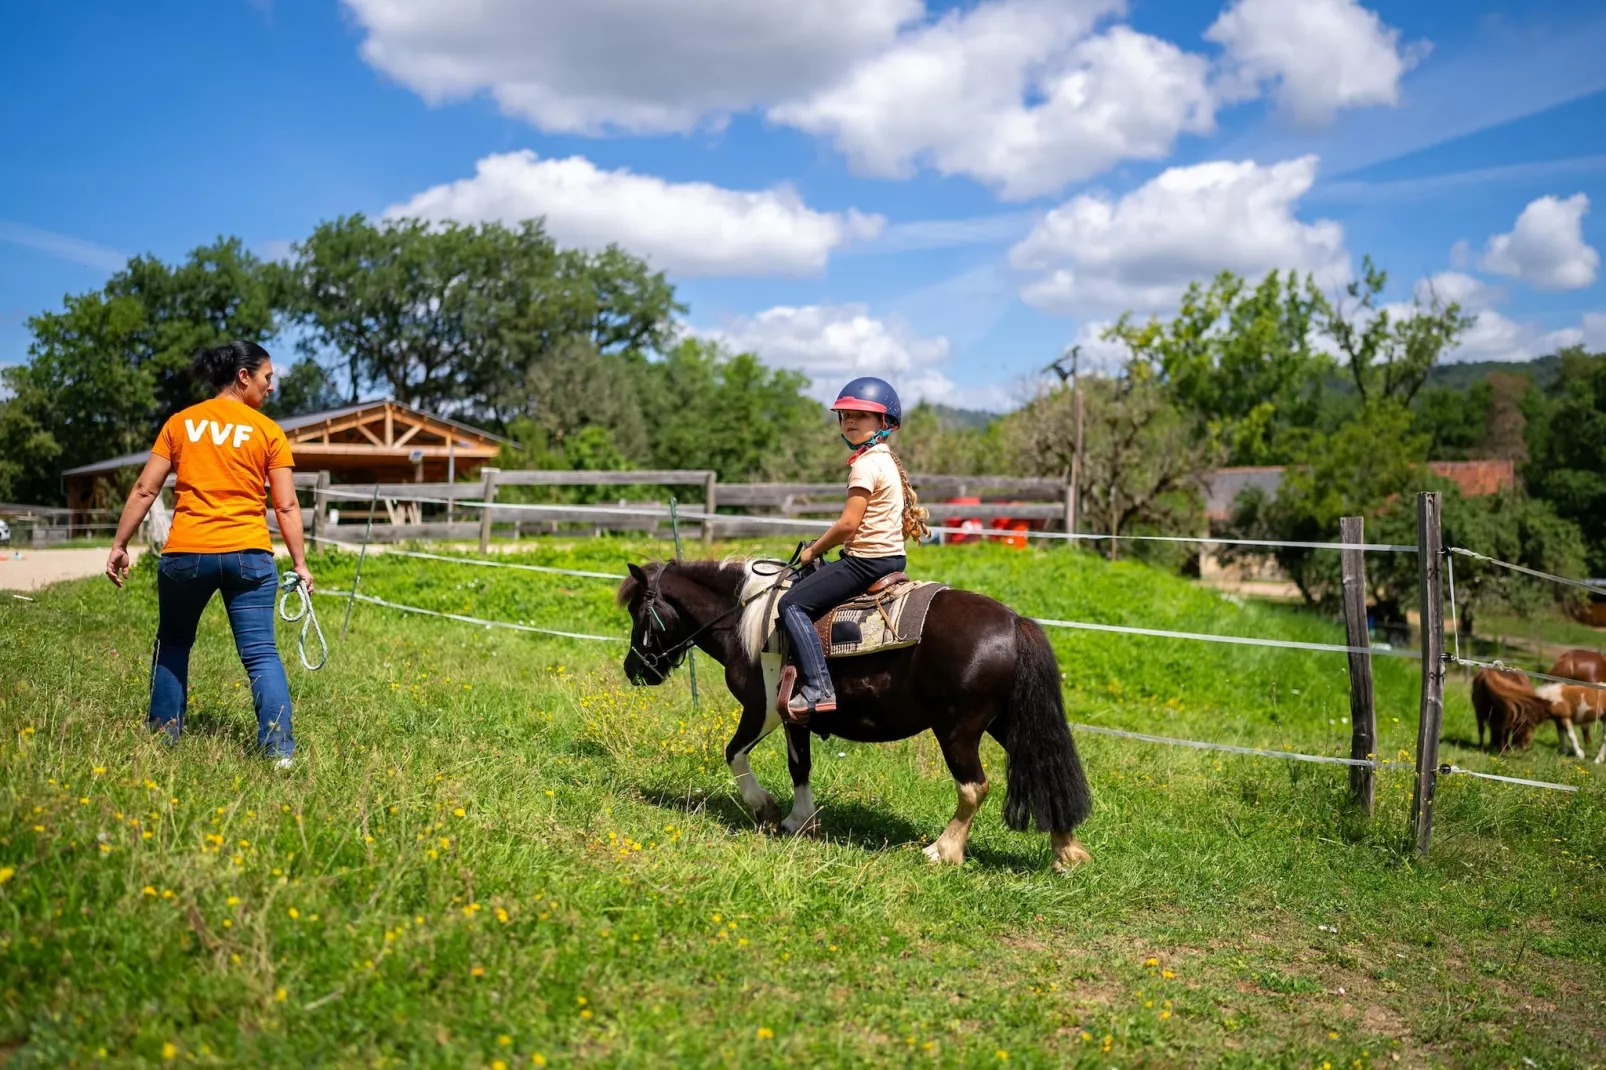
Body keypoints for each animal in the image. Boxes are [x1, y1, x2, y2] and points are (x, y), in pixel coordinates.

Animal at [613, 559, 1092, 867]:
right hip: (1005, 723)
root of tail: (1014, 622)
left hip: (958, 730)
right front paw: (800, 819)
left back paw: (943, 851)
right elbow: (799, 766)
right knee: (1045, 769)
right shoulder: (794, 717)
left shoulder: (763, 709)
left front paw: (768, 810)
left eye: (640, 611)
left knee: (974, 787)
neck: (750, 621)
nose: (634, 669)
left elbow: (735, 754)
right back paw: (1066, 851)